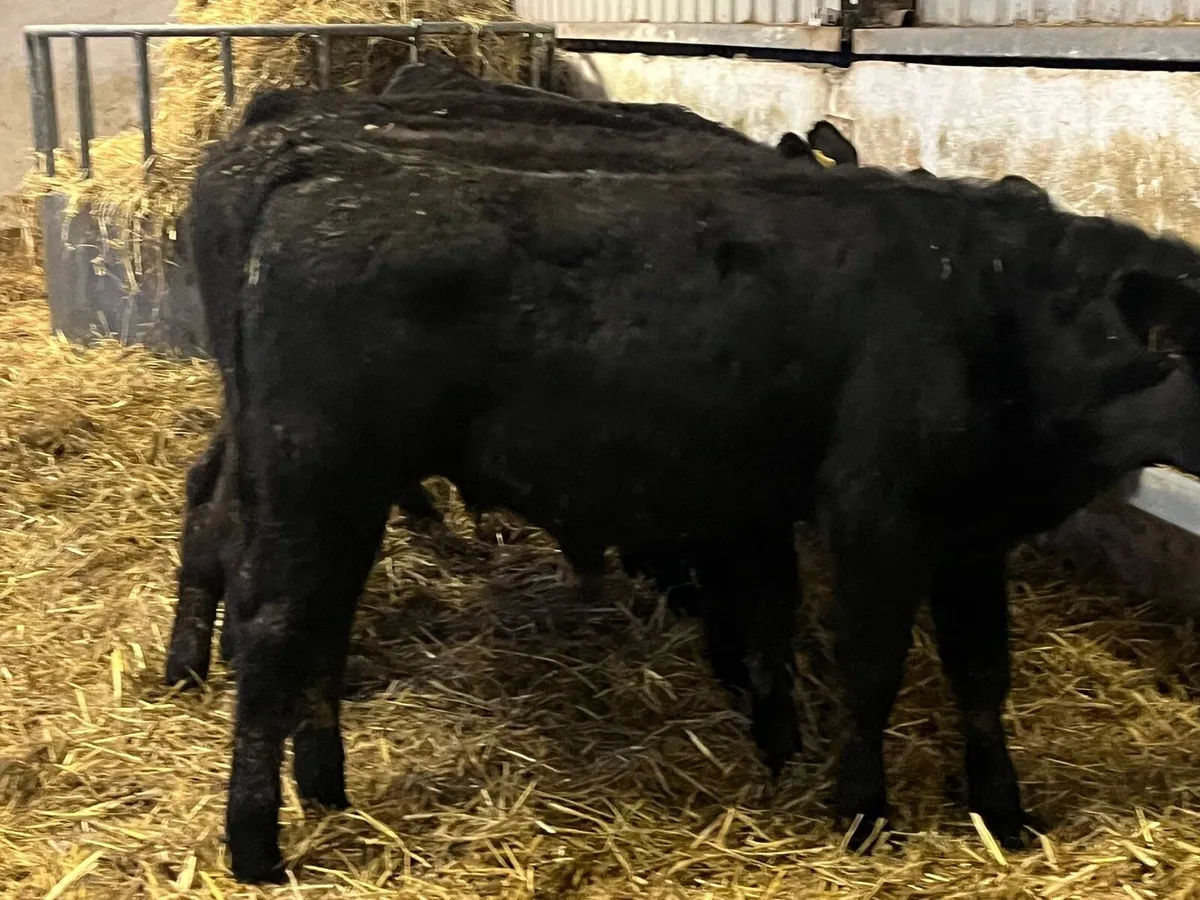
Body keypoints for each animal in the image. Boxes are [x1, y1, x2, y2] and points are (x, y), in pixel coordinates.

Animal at [186, 93, 1200, 882]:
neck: (1001, 314)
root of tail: (314, 175)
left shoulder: (974, 534)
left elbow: (982, 675)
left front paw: (1004, 813)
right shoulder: (877, 517)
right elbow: (868, 669)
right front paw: (860, 810)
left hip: (333, 495)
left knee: (313, 620)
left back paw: (325, 789)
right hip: (317, 475)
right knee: (274, 628)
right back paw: (256, 845)